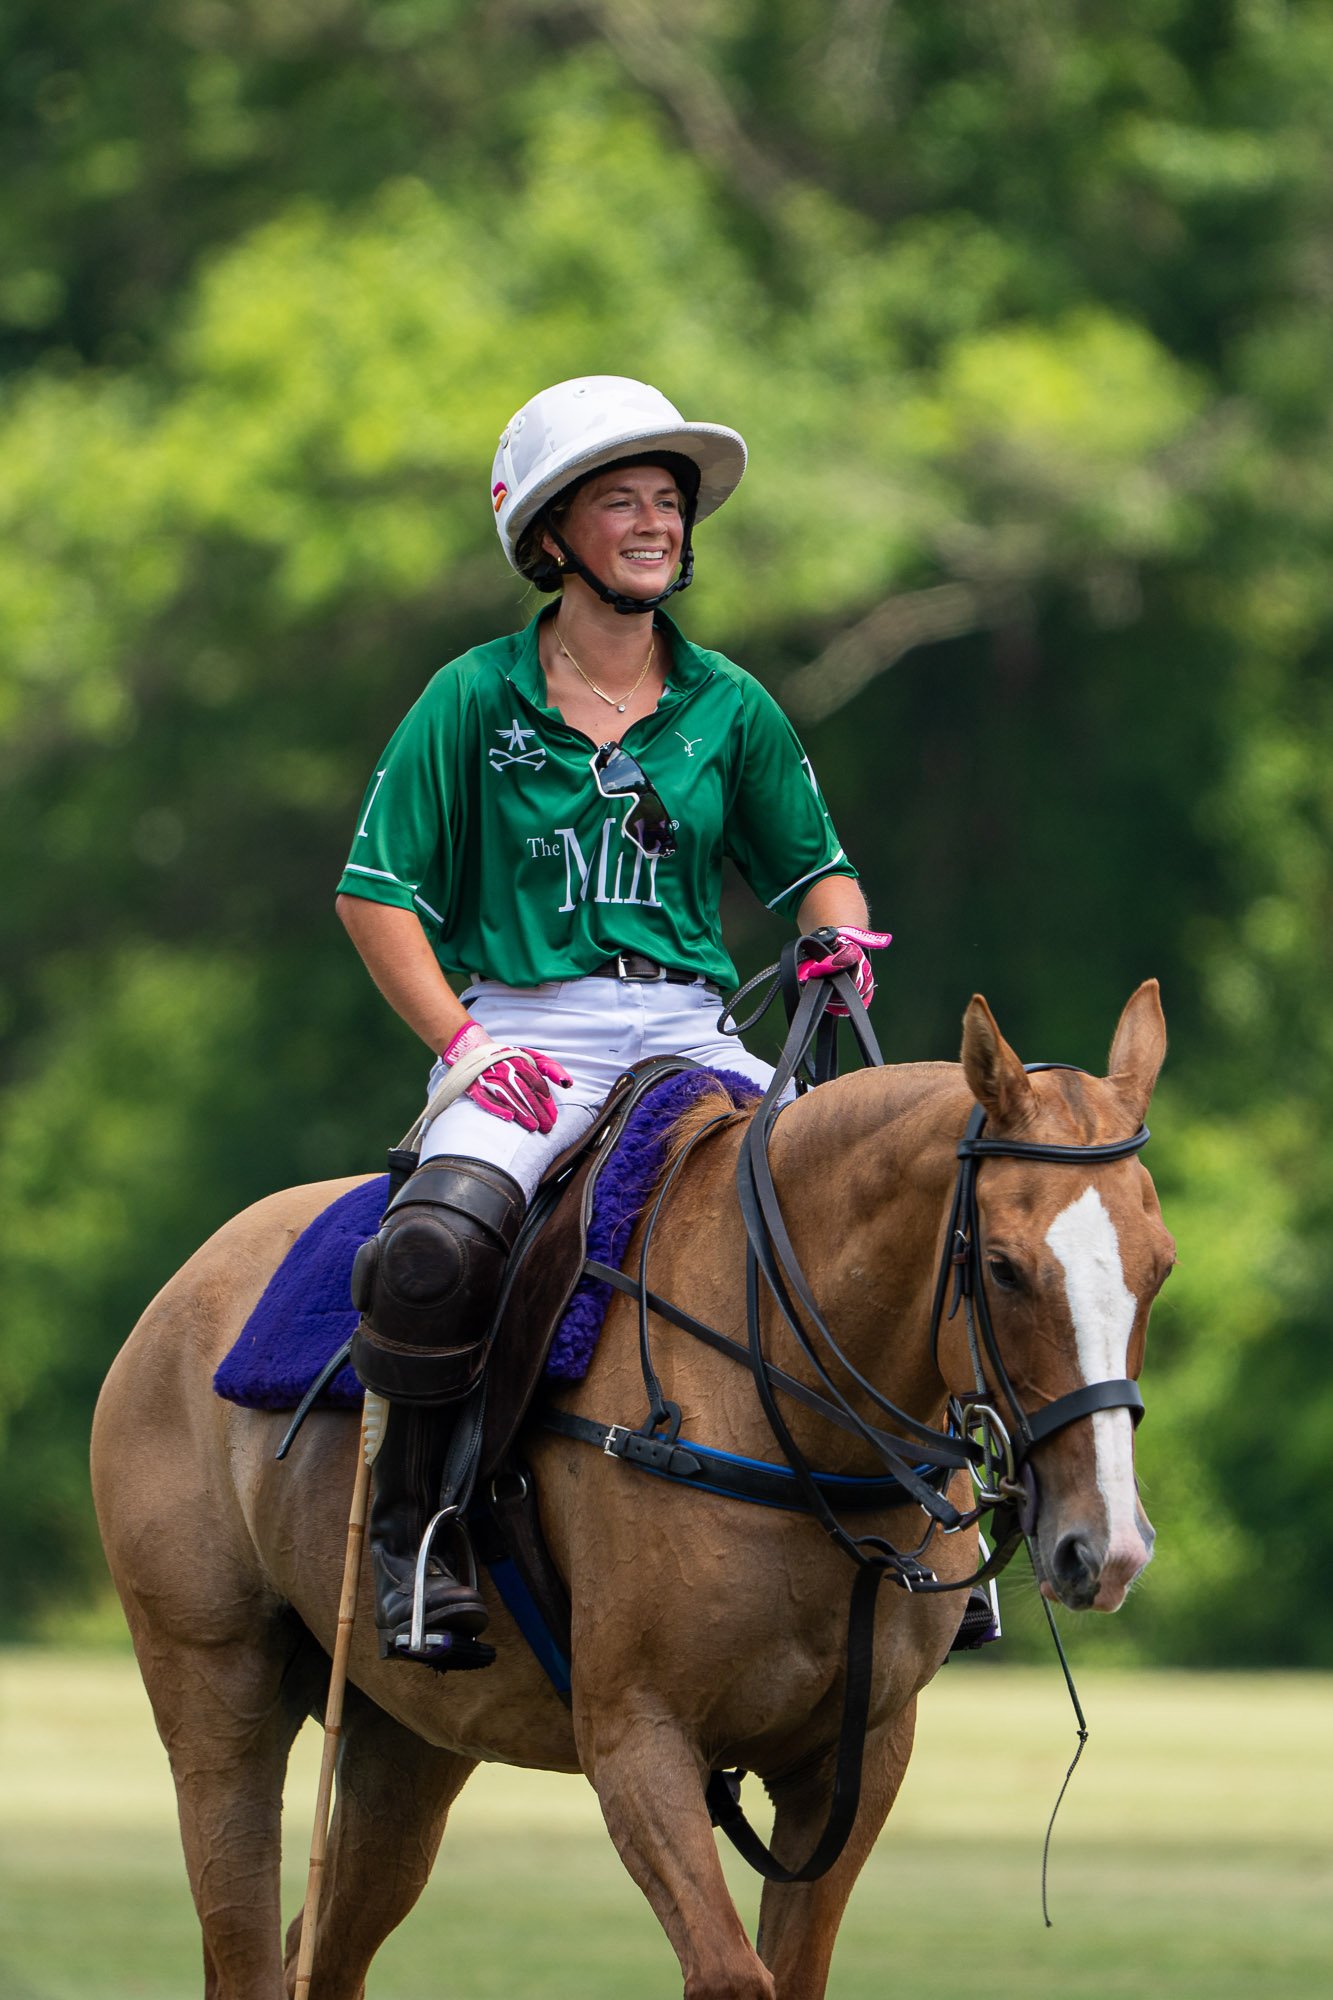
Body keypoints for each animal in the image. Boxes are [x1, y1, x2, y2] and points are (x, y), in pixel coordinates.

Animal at [91, 981, 1174, 2000]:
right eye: (1001, 1266)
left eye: (1157, 1266)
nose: (1106, 1547)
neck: (792, 1413)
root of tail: (175, 1294)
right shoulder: (636, 1732)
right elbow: (731, 1971)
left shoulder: (857, 1755)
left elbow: (793, 1967)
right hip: (216, 1687)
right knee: (242, 1942)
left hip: (408, 1732)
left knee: (322, 1951)